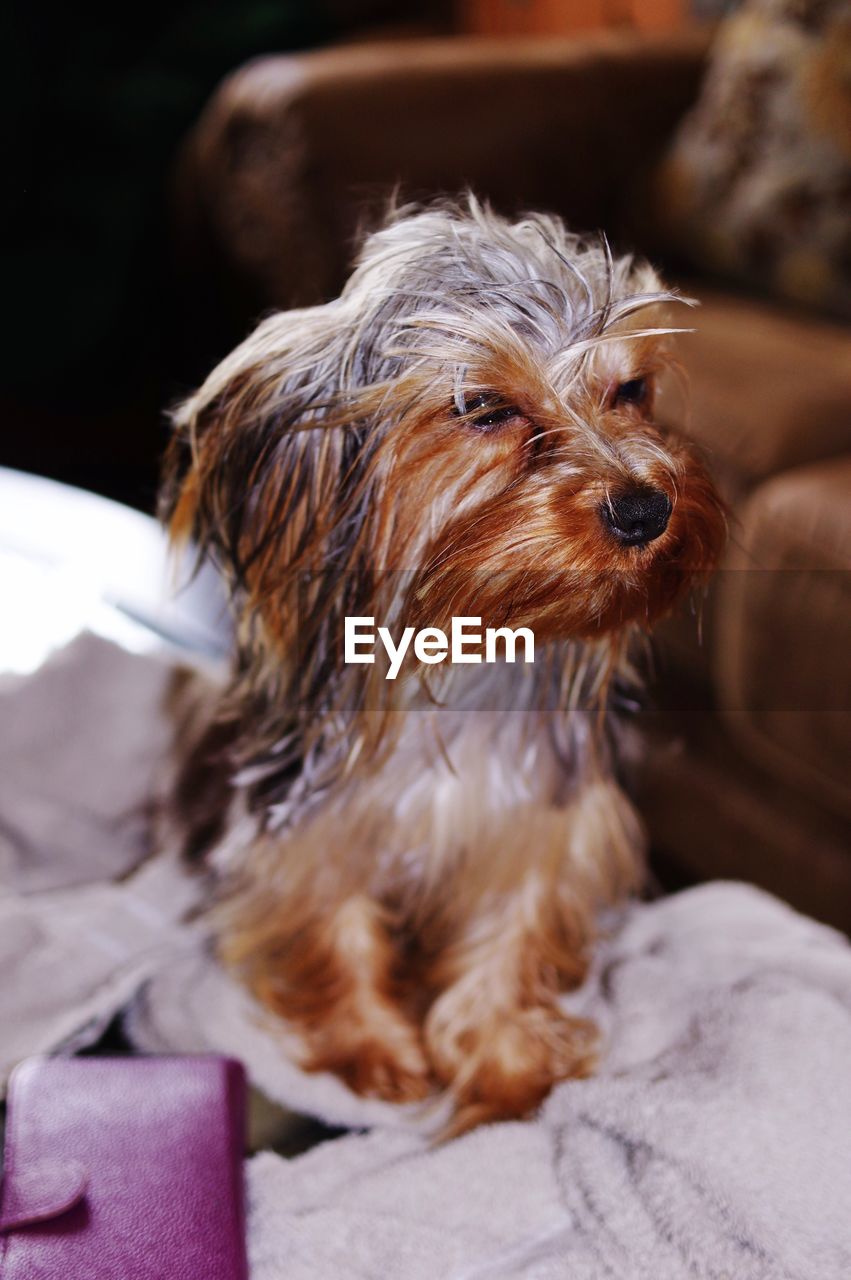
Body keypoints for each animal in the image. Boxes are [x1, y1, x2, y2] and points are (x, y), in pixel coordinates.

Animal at [161, 197, 721, 1131]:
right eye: (482, 407)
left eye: (631, 390)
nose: (646, 509)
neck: (463, 636)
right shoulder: (313, 819)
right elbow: (333, 919)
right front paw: (373, 1052)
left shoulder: (537, 819)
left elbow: (508, 932)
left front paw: (502, 1070)